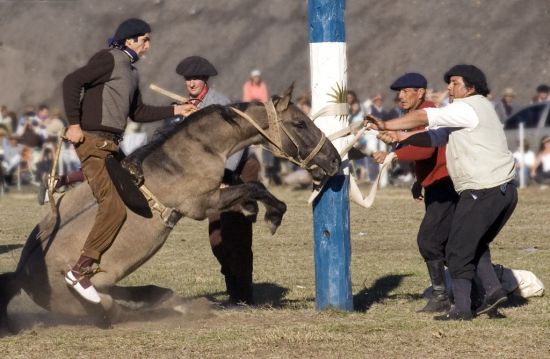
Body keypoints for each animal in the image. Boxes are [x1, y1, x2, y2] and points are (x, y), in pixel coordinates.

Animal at [0, 86, 342, 336]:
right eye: (300, 123)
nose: (335, 160)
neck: (193, 151)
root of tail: (23, 274)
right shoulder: (201, 204)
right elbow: (254, 187)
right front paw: (273, 214)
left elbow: (245, 187)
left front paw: (254, 209)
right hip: (95, 299)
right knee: (119, 310)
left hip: (114, 285)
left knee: (152, 293)